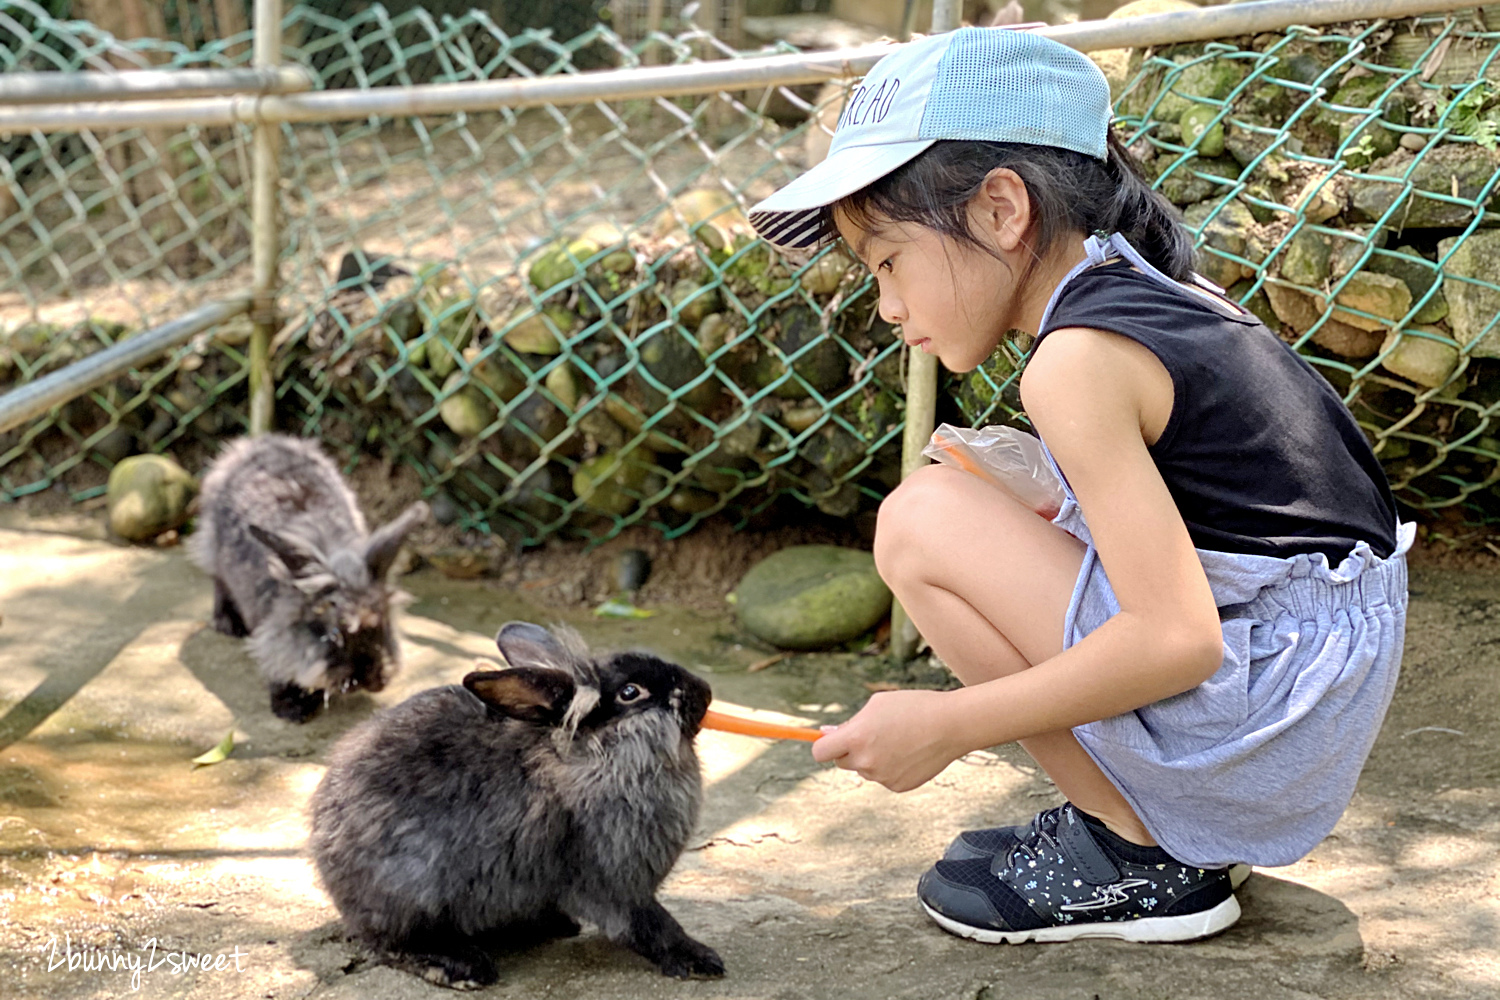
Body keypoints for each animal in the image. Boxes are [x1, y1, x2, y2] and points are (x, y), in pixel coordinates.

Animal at [186, 434, 426, 722]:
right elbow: (277, 662)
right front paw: (291, 709)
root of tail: (258, 442)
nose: (368, 680)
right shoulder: (273, 633)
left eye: (383, 625)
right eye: (334, 633)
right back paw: (228, 624)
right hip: (213, 548)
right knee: (218, 581)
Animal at [307, 620, 723, 989]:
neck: (593, 753)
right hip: (411, 889)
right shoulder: (614, 881)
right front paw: (700, 961)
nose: (705, 691)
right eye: (631, 692)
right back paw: (462, 967)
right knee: (389, 943)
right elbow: (650, 925)